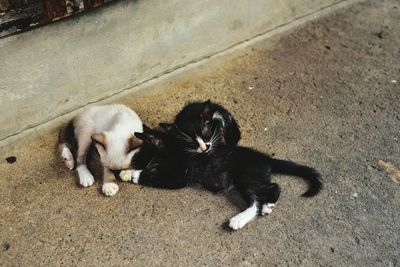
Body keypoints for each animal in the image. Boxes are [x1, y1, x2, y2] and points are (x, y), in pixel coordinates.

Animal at [130, 100, 324, 230]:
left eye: (140, 153)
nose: (132, 162)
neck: (173, 146)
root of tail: (264, 158)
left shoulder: (179, 175)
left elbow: (156, 178)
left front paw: (132, 174)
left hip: (246, 176)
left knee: (264, 194)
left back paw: (239, 219)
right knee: (270, 189)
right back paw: (267, 206)